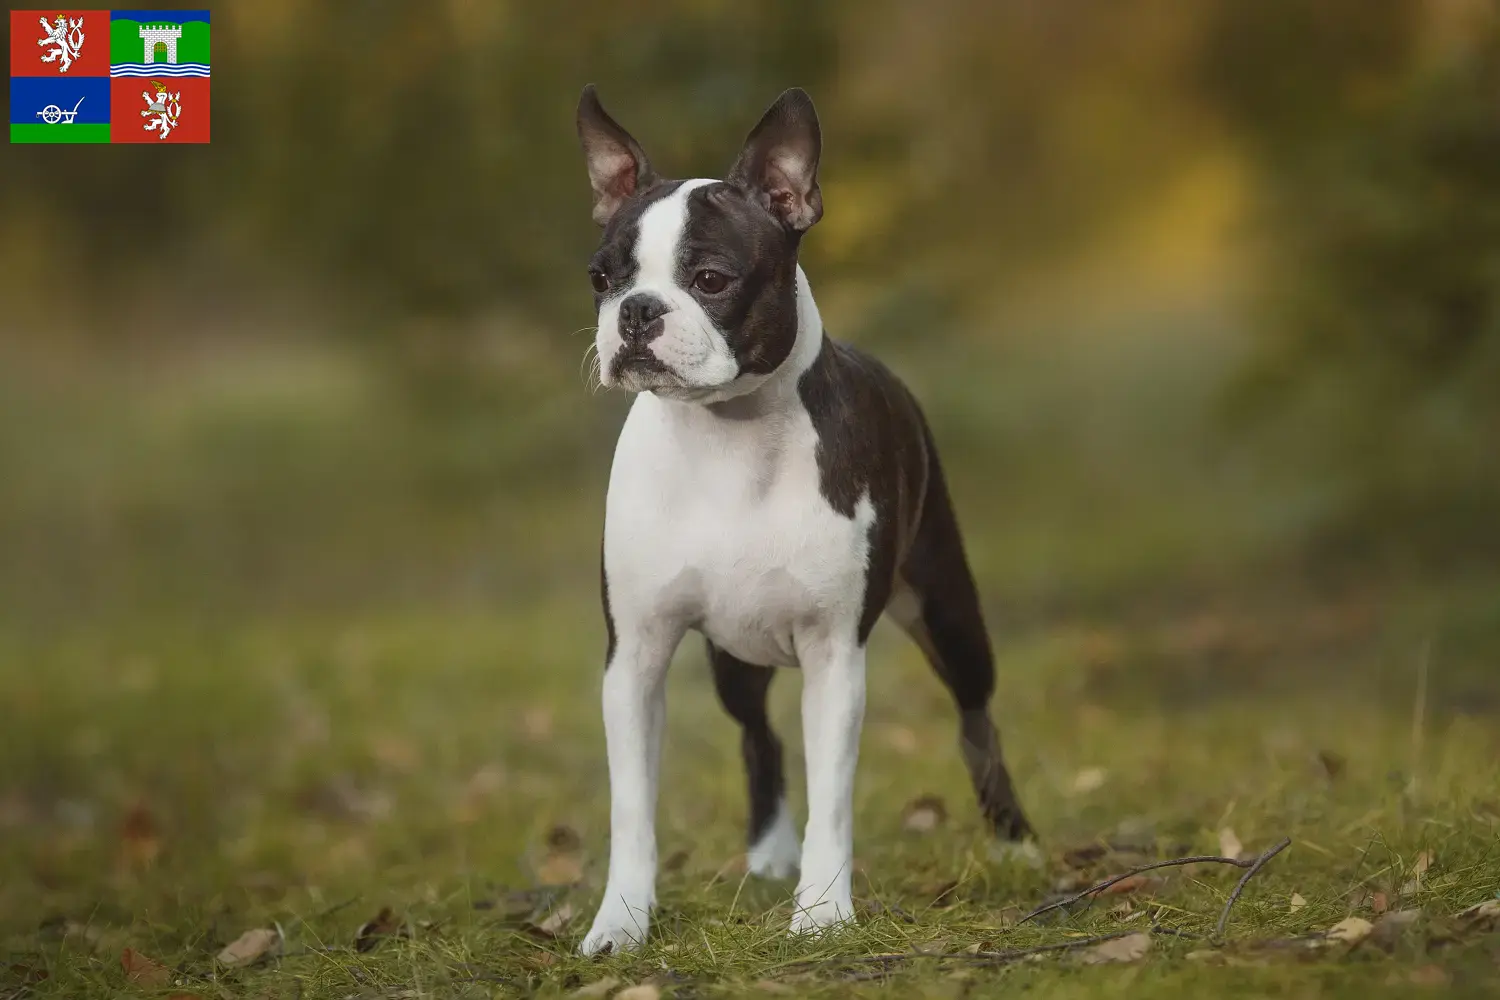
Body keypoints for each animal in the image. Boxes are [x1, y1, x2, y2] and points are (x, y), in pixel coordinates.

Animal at [573, 83, 1032, 953]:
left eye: (710, 278)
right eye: (601, 278)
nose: (637, 312)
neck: (726, 437)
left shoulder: (834, 658)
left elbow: (836, 798)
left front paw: (821, 912)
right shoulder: (634, 657)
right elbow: (629, 807)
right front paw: (621, 920)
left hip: (950, 611)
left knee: (977, 716)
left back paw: (1016, 843)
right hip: (732, 658)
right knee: (759, 733)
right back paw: (767, 851)